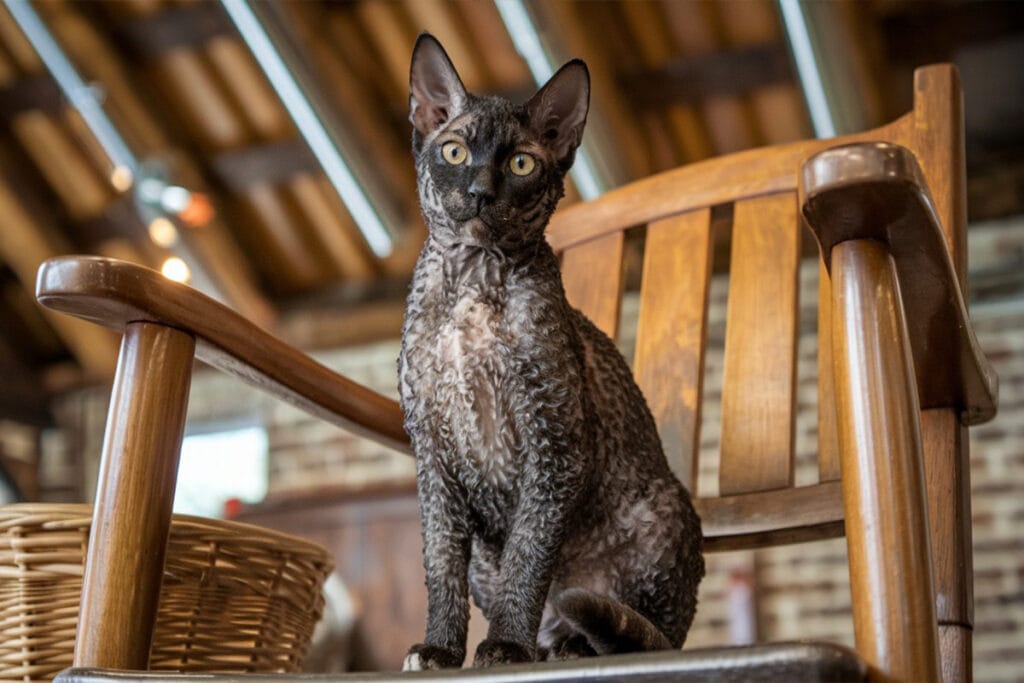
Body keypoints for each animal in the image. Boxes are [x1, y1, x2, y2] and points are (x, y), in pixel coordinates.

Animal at [397, 34, 704, 671]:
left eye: (521, 164)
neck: (472, 276)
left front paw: (505, 644)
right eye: (455, 152)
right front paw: (440, 649)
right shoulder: (431, 451)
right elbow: (440, 566)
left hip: (665, 509)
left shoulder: (555, 439)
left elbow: (530, 555)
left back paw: (569, 645)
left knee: (641, 629)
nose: (480, 192)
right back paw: (550, 646)